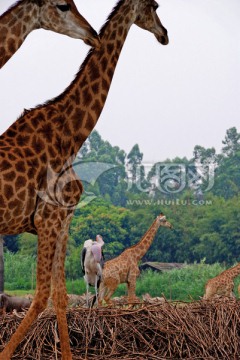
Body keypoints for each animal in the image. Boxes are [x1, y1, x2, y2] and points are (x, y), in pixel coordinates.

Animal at [0, 0, 169, 358]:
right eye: (155, 6)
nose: (165, 35)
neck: (70, 135)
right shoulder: (48, 218)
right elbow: (42, 295)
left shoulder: (63, 221)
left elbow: (60, 296)